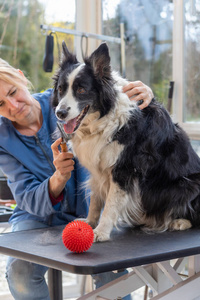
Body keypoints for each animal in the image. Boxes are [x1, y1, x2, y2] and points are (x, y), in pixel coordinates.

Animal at [51, 41, 200, 241]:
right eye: (60, 89)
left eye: (81, 90)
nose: (60, 113)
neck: (103, 119)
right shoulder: (98, 168)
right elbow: (96, 200)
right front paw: (89, 223)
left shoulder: (125, 169)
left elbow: (111, 204)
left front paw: (101, 232)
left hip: (187, 184)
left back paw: (179, 222)